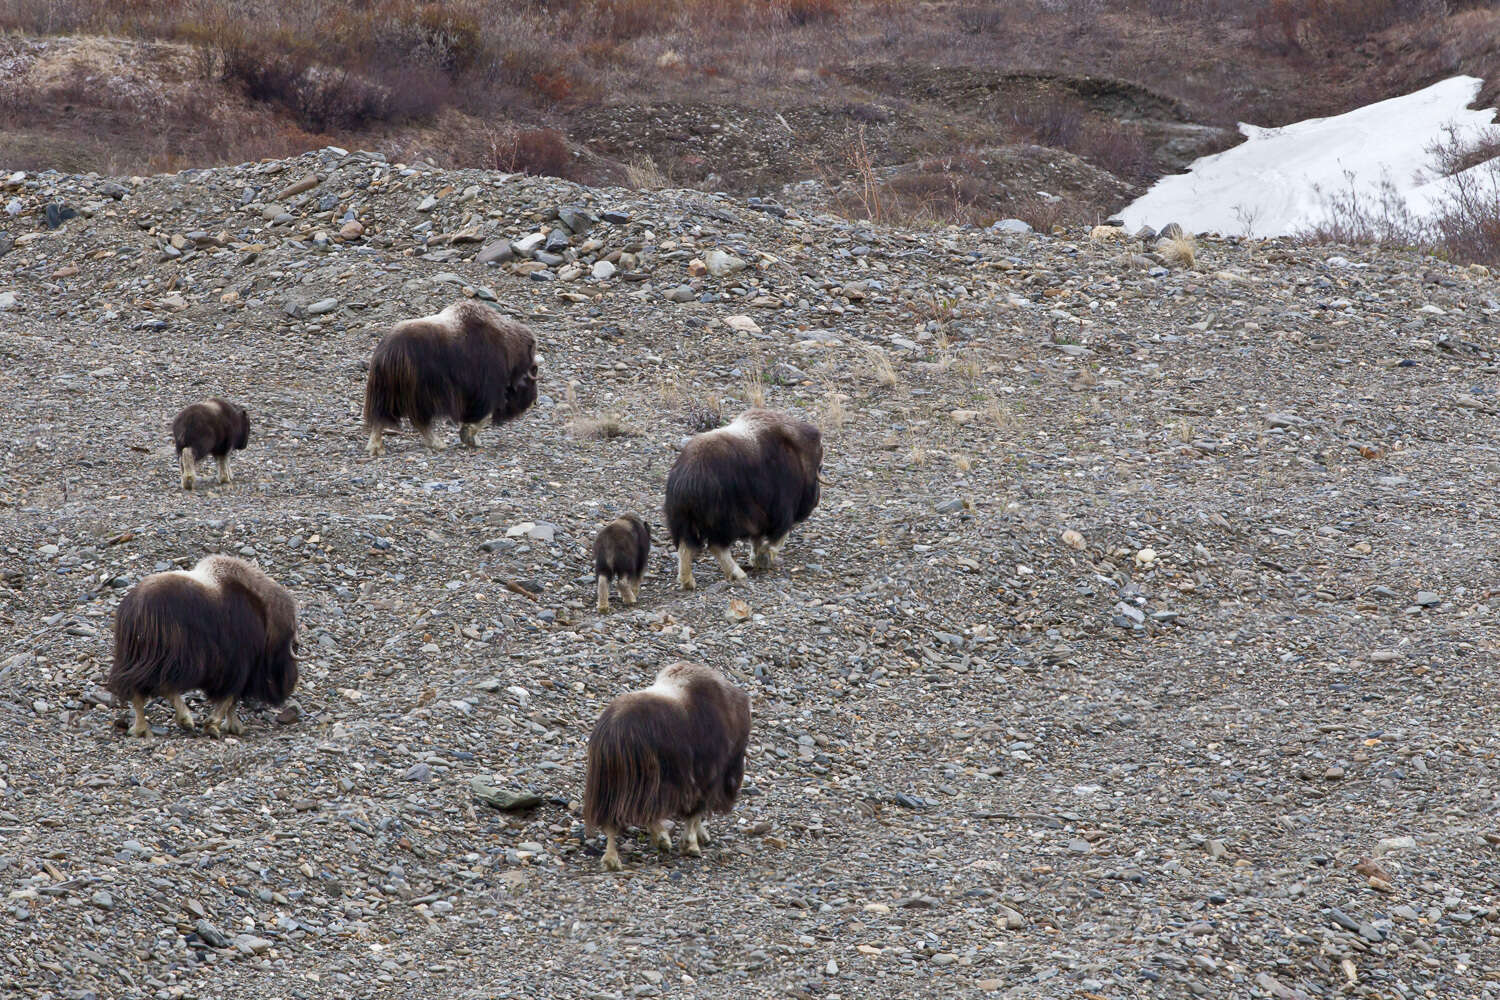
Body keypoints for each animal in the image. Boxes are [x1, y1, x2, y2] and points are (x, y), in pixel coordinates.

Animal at [107, 554, 297, 734]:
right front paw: (216, 725)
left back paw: (139, 728)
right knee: (162, 685)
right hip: (169, 659)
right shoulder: (238, 666)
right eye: (291, 645)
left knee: (137, 689)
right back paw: (184, 720)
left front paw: (231, 726)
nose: (289, 687)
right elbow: (230, 697)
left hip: (133, 657)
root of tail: (135, 609)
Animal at [363, 301, 540, 458]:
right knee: (419, 421)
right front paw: (470, 437)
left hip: (386, 392)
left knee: (383, 417)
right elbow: (485, 415)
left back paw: (375, 447)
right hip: (418, 395)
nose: (533, 402)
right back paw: (436, 444)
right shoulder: (487, 390)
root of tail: (387, 351)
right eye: (533, 371)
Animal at [582, 665, 750, 869]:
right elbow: (694, 813)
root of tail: (612, 730)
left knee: (614, 820)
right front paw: (691, 845)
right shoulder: (704, 777)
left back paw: (614, 859)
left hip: (610, 786)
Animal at [669, 407, 828, 590]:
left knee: (684, 548)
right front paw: (765, 557)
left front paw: (756, 559)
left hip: (684, 521)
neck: (798, 456)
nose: (815, 501)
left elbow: (757, 540)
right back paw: (738, 574)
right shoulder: (782, 510)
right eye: (819, 467)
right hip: (724, 521)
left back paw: (688, 581)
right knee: (716, 547)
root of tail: (687, 478)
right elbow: (780, 535)